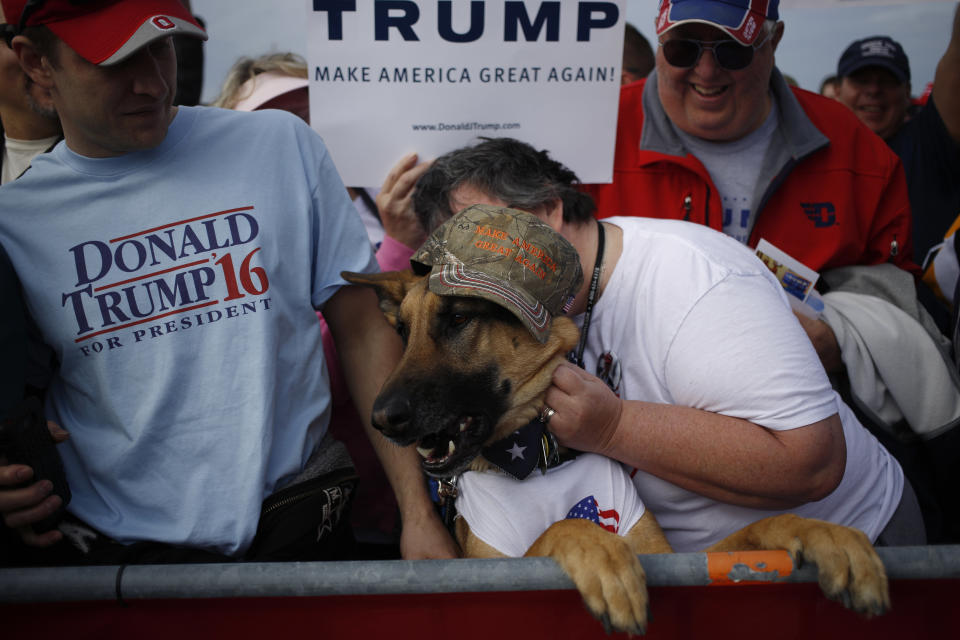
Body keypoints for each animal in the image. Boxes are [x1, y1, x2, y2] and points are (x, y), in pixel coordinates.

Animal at [342, 268, 888, 632]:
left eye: (457, 318)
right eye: (401, 332)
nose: (381, 419)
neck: (539, 460)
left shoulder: (675, 559)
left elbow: (758, 531)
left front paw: (824, 534)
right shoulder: (492, 575)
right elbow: (562, 527)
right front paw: (602, 554)